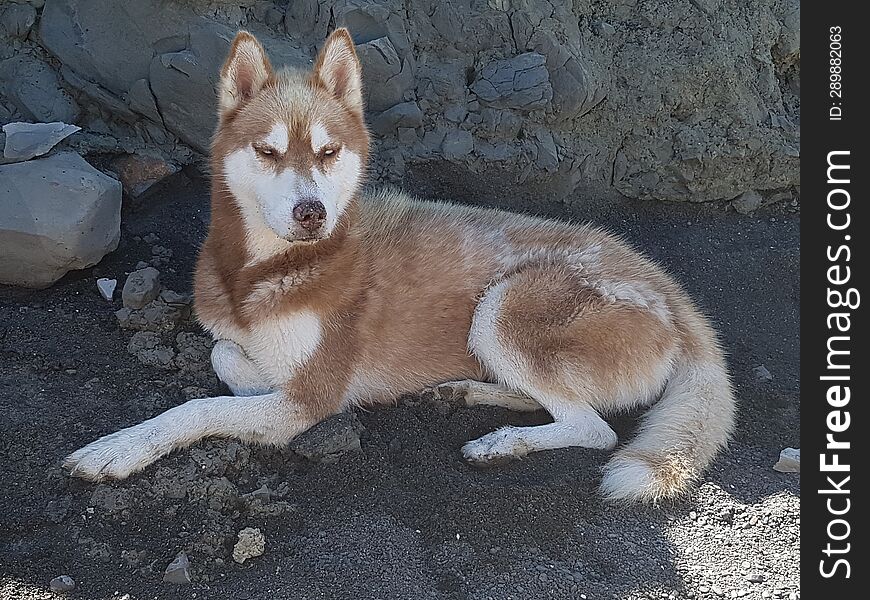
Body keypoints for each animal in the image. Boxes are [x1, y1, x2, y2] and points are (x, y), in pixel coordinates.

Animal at [64, 28, 740, 502]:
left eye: (328, 152)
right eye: (269, 151)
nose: (311, 212)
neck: (265, 274)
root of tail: (669, 288)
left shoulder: (306, 401)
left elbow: (199, 407)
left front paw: (116, 449)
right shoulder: (263, 362)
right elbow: (225, 355)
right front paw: (249, 369)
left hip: (505, 305)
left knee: (593, 426)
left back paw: (502, 443)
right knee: (560, 403)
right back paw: (468, 391)